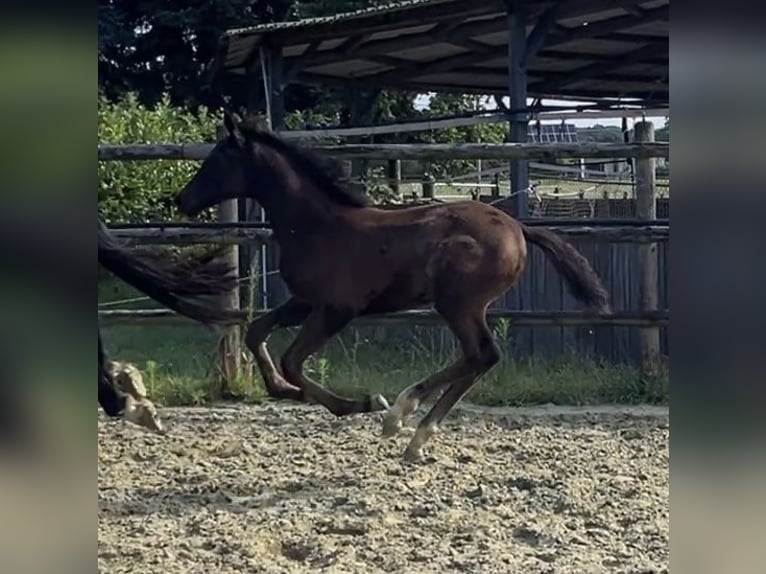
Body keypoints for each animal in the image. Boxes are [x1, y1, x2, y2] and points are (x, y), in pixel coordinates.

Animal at [174, 112, 610, 461]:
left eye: (217, 160)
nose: (182, 200)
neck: (317, 226)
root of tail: (518, 227)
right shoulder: (304, 302)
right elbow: (256, 333)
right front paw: (286, 393)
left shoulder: (336, 309)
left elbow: (293, 361)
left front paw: (362, 403)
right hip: (464, 305)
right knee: (479, 358)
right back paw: (415, 433)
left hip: (458, 302)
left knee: (482, 354)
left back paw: (402, 417)